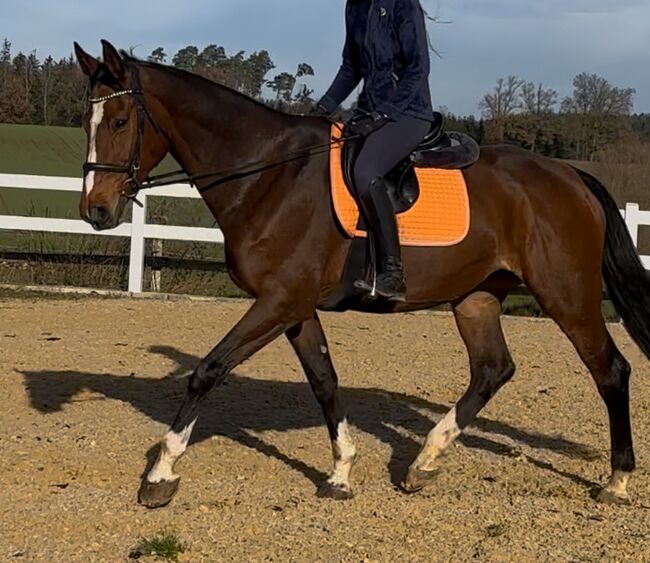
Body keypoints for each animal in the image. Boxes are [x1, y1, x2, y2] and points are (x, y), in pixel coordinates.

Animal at [73, 39, 644, 506]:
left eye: (120, 121)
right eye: (86, 124)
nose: (96, 211)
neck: (268, 175)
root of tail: (570, 175)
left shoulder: (278, 301)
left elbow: (208, 370)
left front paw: (160, 474)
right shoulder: (294, 306)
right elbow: (325, 381)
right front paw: (341, 472)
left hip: (566, 296)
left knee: (610, 370)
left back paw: (617, 481)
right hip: (476, 296)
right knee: (492, 369)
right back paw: (423, 463)